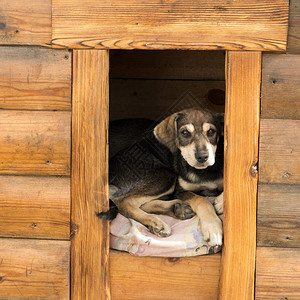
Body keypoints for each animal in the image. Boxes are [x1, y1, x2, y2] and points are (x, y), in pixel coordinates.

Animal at [98, 109, 223, 247]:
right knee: (123, 201)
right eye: (185, 133)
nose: (202, 157)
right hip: (166, 176)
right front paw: (213, 229)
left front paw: (220, 203)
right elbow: (202, 200)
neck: (205, 171)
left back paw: (177, 209)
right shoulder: (180, 190)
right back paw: (158, 222)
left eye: (211, 131)